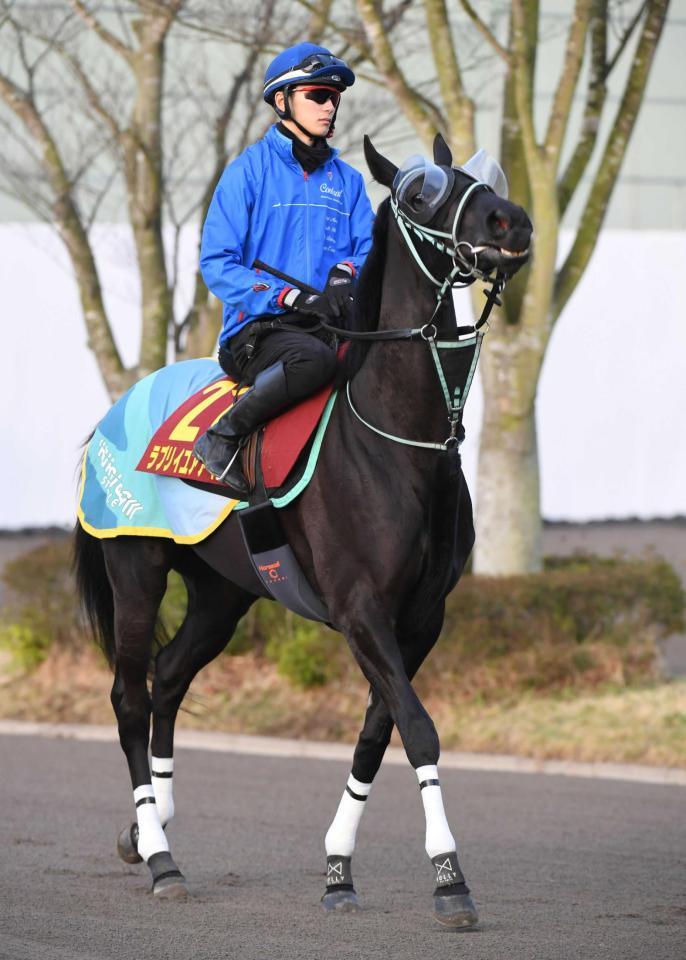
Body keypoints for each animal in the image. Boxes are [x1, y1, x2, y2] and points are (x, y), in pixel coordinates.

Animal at [76, 131, 536, 928]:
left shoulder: (422, 617)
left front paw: (338, 869)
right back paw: (162, 859)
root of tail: (115, 410)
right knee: (131, 696)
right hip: (135, 569)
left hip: (222, 593)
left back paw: (150, 823)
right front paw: (450, 877)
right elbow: (418, 728)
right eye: (421, 194)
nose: (513, 223)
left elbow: (377, 733)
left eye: (485, 177)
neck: (400, 440)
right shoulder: (361, 610)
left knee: (168, 677)